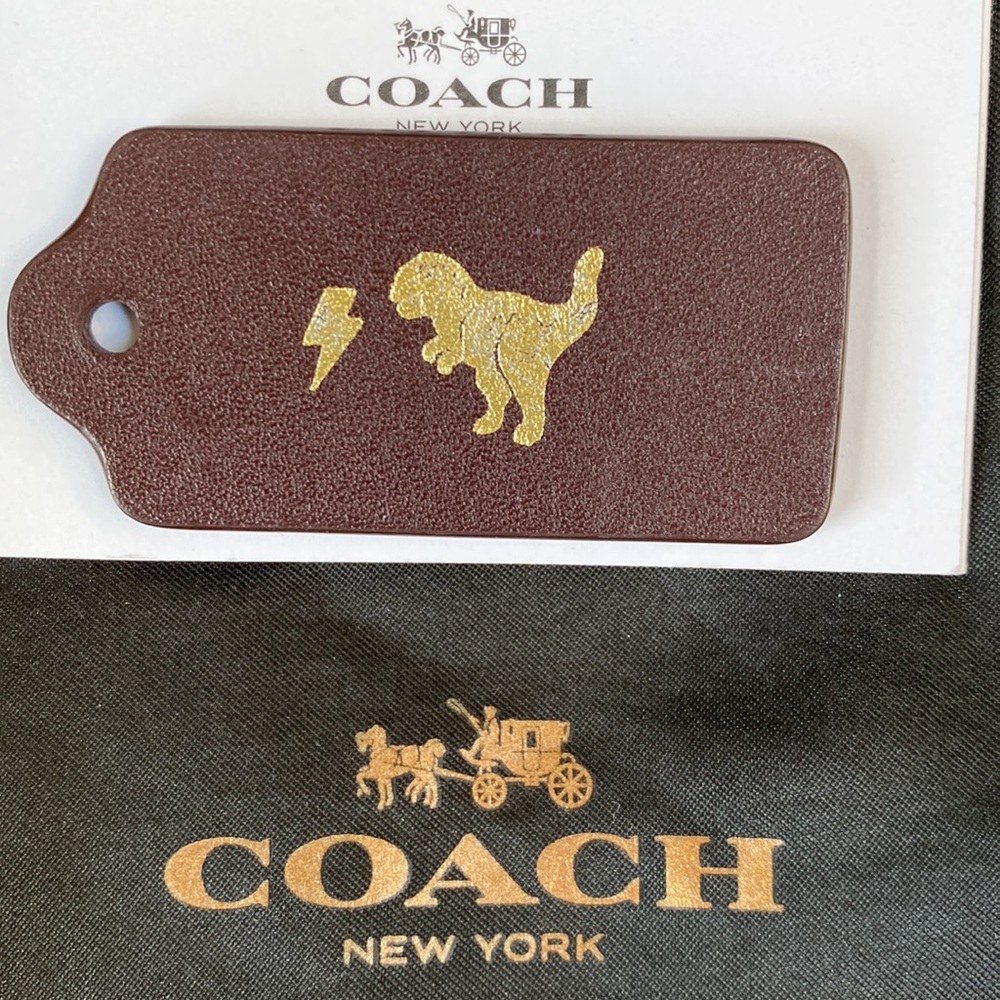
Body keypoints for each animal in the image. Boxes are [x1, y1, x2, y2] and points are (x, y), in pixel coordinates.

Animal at [388, 247, 605, 446]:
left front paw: (444, 361)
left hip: (515, 354)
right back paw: (488, 424)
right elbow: (442, 341)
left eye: (408, 278)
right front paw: (431, 352)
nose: (392, 293)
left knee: (530, 398)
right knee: (501, 391)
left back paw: (528, 433)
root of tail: (552, 316)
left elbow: (455, 346)